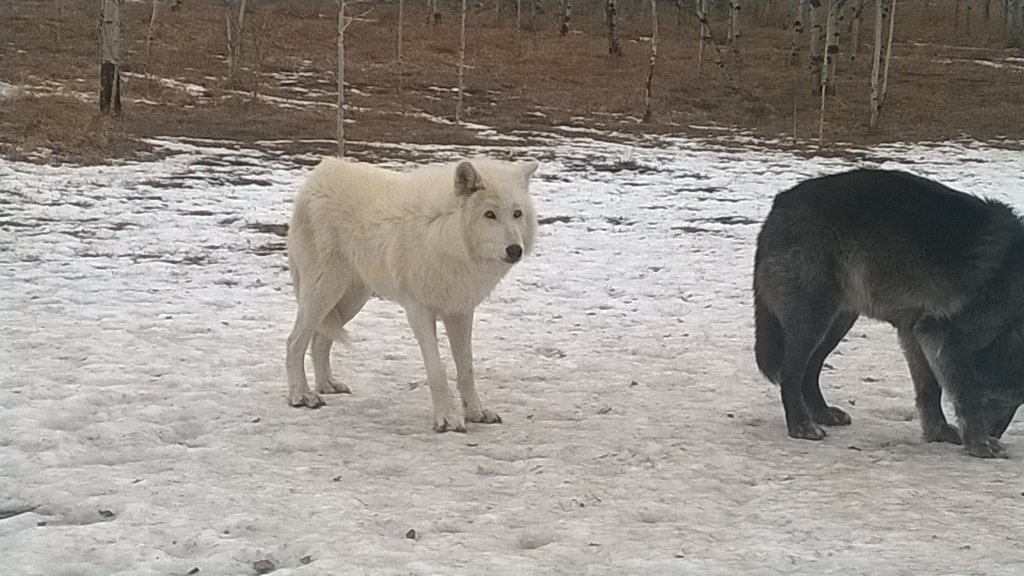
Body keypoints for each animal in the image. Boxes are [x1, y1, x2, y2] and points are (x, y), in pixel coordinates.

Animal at [285, 157, 539, 432]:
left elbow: (466, 369)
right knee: (294, 341)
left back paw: (326, 385)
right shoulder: (419, 311)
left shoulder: (460, 311)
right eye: (489, 214)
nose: (515, 250)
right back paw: (302, 395)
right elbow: (437, 370)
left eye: (517, 214)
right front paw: (448, 419)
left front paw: (476, 413)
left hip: (351, 300)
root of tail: (321, 172)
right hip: (323, 292)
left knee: (320, 339)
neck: (448, 237)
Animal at [754, 169, 1024, 458]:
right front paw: (979, 443)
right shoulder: (942, 334)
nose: (996, 433)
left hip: (838, 322)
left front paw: (937, 432)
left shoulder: (916, 332)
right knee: (791, 373)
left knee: (810, 369)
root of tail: (780, 203)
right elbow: (966, 393)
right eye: (1008, 400)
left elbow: (929, 389)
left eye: (1018, 402)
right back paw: (801, 425)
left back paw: (822, 414)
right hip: (813, 320)